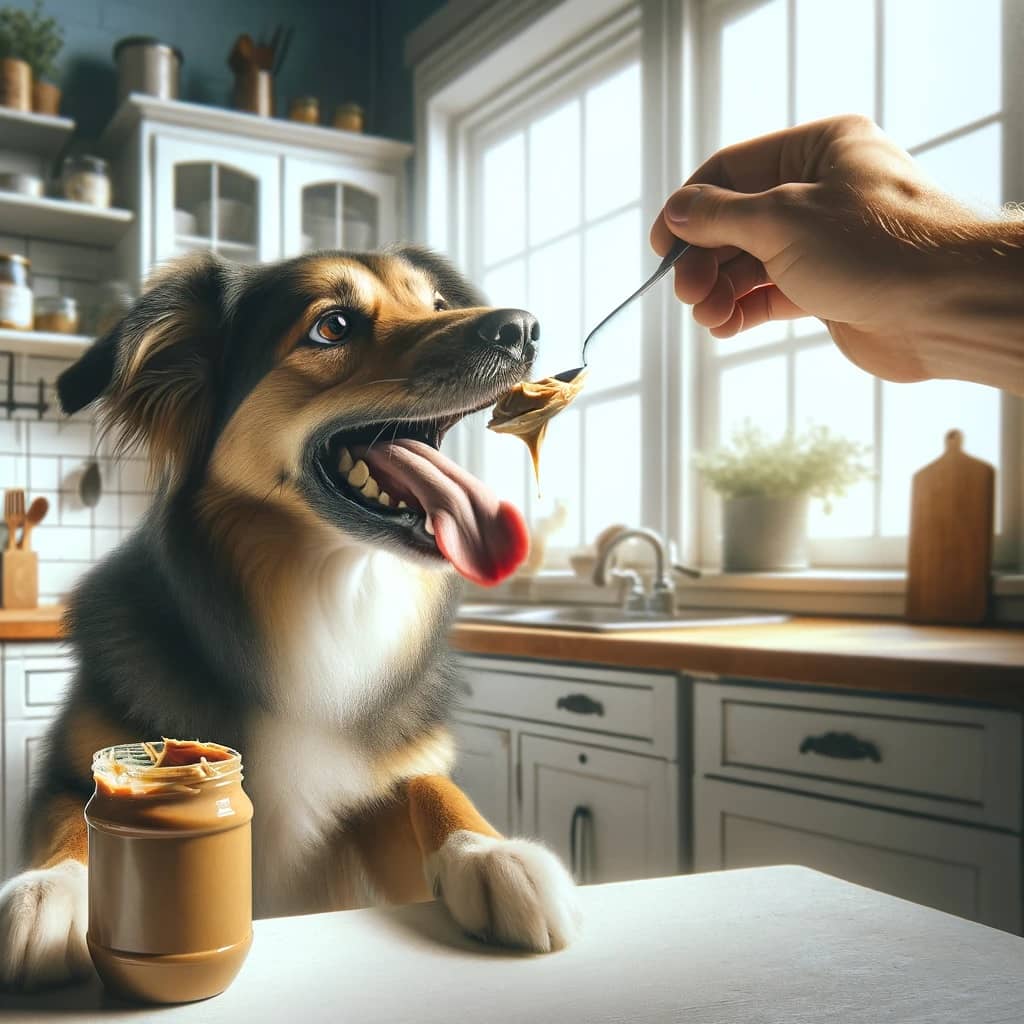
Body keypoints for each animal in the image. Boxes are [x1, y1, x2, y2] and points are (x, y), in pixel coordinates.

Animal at [0, 247, 577, 991]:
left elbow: (430, 786)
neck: (318, 596)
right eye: (332, 327)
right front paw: (49, 893)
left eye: (437, 305)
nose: (523, 329)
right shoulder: (66, 772)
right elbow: (73, 816)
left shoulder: (374, 788)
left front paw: (493, 854)